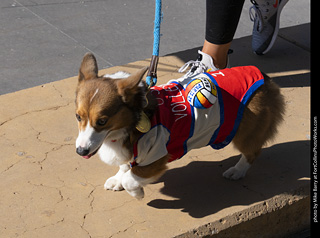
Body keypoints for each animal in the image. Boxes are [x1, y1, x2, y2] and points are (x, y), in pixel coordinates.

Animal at [75, 53, 284, 199]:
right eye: (78, 117)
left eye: (102, 121)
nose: (80, 151)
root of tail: (265, 77)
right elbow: (125, 166)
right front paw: (117, 180)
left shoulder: (155, 158)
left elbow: (131, 178)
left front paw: (137, 192)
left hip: (245, 134)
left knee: (252, 152)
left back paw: (237, 171)